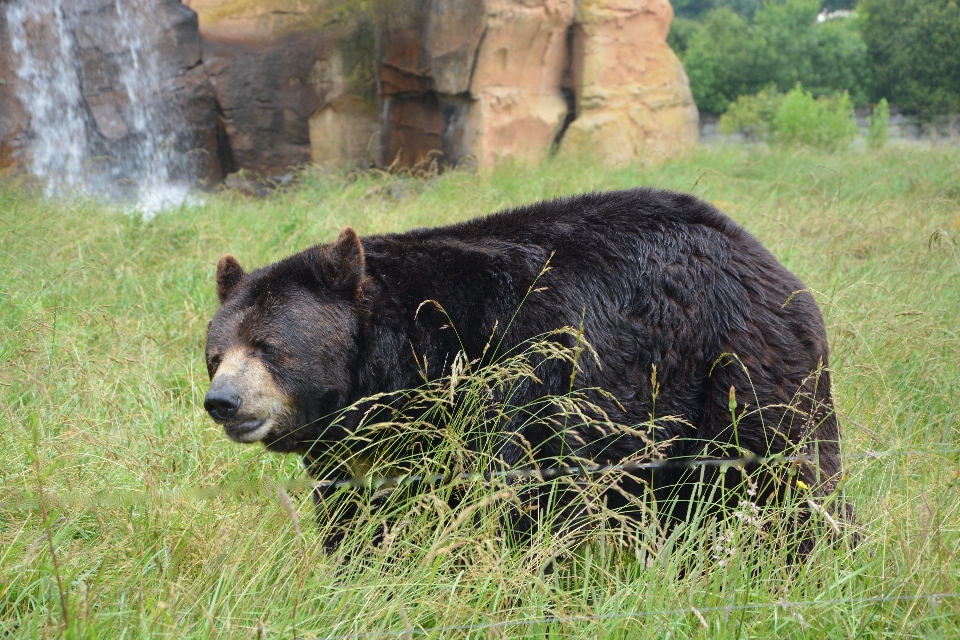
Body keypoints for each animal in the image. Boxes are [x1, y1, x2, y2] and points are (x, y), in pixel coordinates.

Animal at [201, 186, 840, 552]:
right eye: (214, 354)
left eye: (268, 346)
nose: (224, 402)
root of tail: (764, 256)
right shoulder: (361, 454)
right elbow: (360, 520)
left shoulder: (513, 384)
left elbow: (508, 503)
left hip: (737, 367)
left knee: (781, 474)